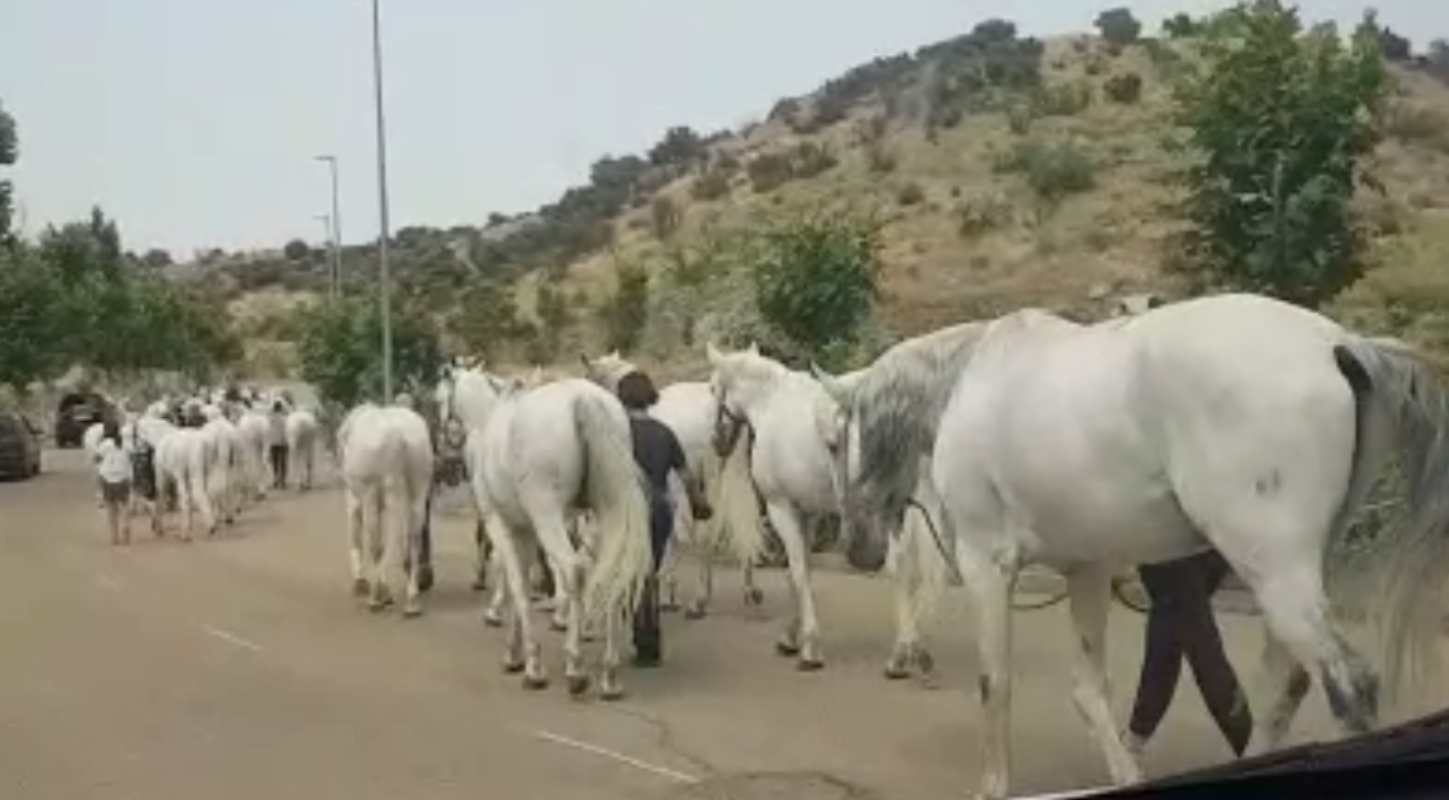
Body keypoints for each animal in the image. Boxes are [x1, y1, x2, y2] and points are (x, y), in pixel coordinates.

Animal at [336, 402, 431, 614]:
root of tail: (400, 435)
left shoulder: (357, 496)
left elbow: (358, 534)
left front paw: (364, 584)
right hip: (418, 484)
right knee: (413, 536)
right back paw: (412, 598)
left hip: (379, 488)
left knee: (381, 541)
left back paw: (377, 597)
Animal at [469, 376, 652, 695]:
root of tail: (584, 399)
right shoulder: (525, 528)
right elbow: (522, 582)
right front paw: (515, 653)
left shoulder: (500, 523)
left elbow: (517, 584)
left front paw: (531, 664)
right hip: (603, 512)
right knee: (610, 572)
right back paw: (610, 674)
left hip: (548, 514)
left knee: (573, 569)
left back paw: (575, 667)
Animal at [817, 295, 1449, 800]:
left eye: (833, 442)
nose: (855, 547)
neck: (968, 383)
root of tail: (1341, 345)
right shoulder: (1087, 570)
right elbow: (1090, 691)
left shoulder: (985, 565)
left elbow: (994, 683)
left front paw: (993, 786)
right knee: (1285, 684)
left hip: (1274, 570)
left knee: (1344, 685)